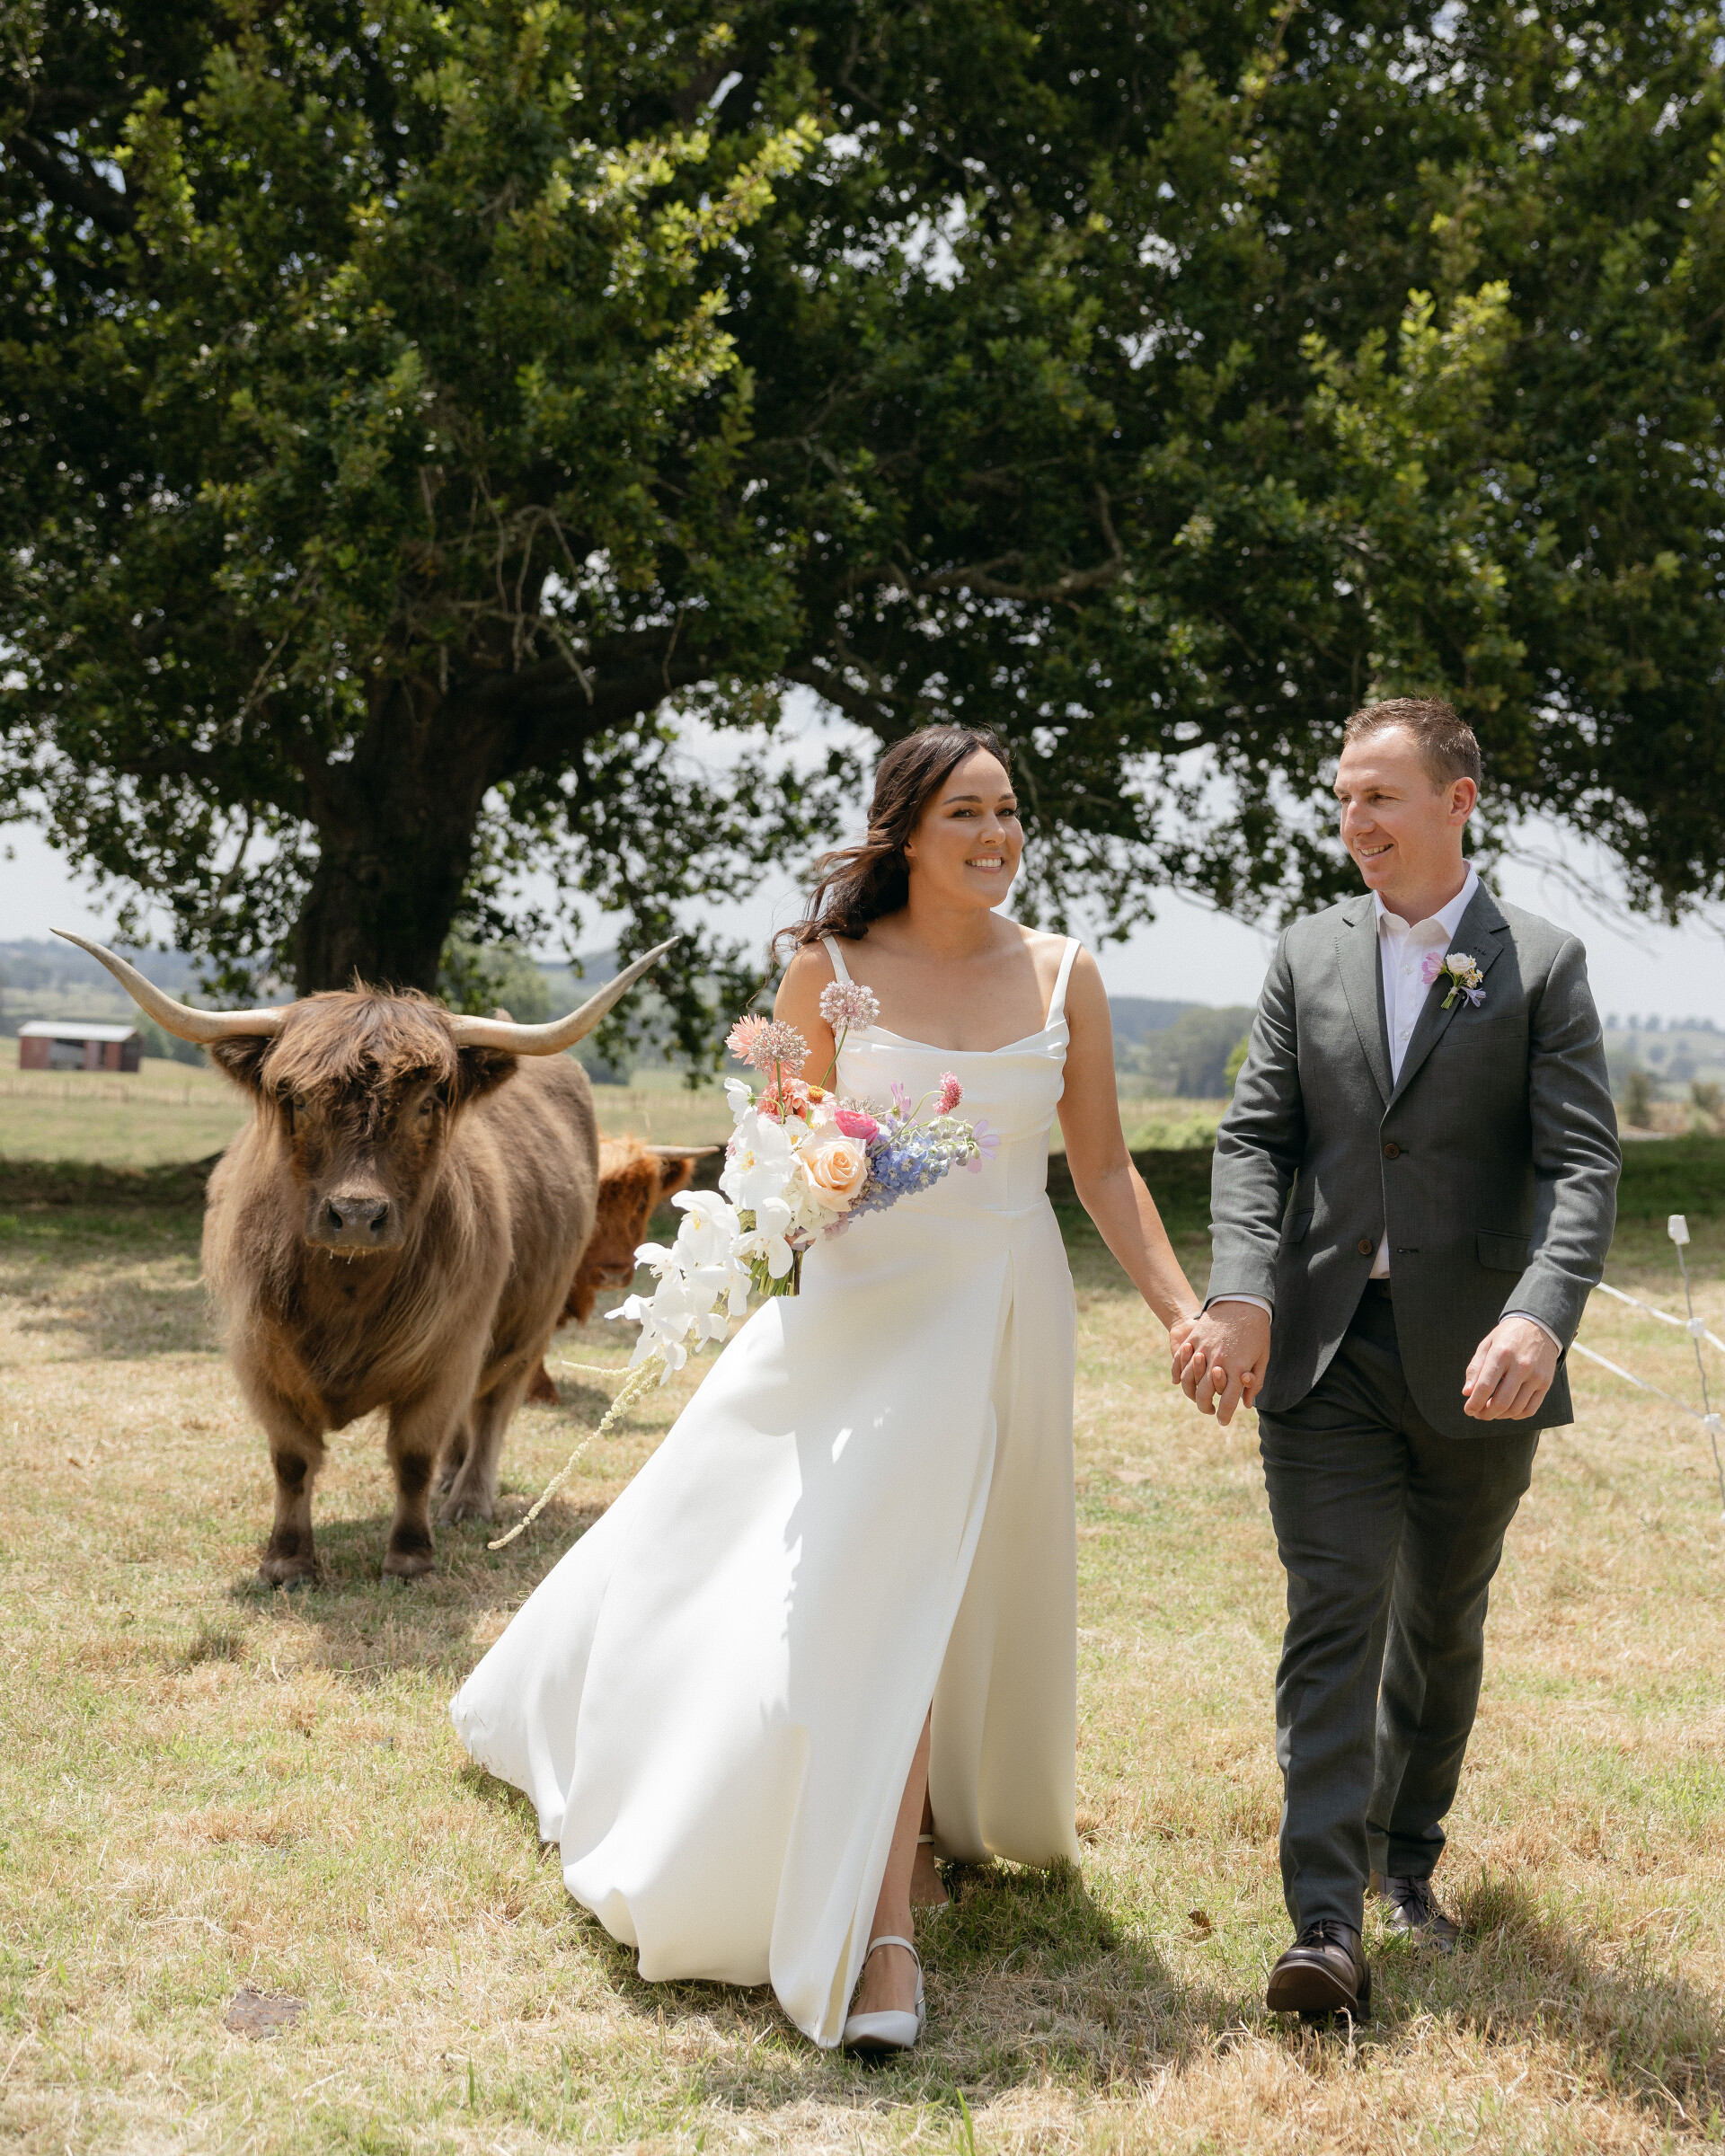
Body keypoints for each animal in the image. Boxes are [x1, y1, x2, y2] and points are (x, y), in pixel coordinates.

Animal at [54, 930, 671, 1585]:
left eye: (427, 1102)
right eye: (297, 1100)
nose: (355, 1214)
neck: (346, 1295)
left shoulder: (450, 1350)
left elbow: (414, 1454)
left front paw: (410, 1555)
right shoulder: (259, 1353)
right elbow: (292, 1460)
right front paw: (287, 1560)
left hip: (529, 1323)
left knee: (492, 1409)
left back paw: (468, 1500)